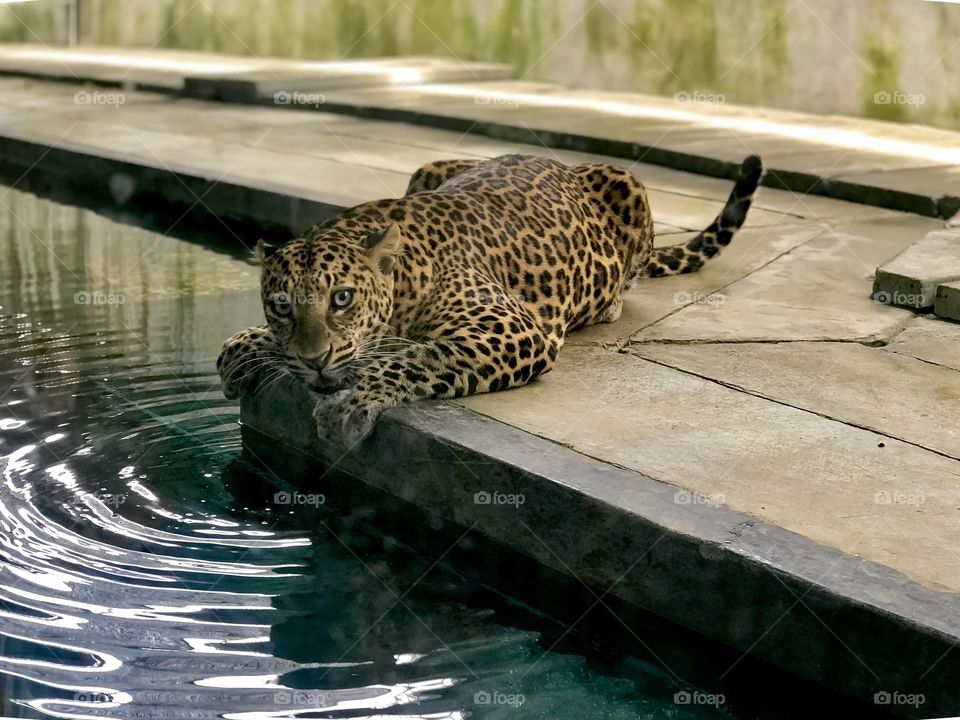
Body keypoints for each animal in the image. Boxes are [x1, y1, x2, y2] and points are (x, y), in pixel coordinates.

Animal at [218, 153, 763, 446]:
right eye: (282, 305)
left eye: (342, 298)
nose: (314, 359)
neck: (404, 277)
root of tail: (564, 162)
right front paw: (246, 348)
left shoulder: (511, 329)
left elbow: (418, 357)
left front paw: (349, 403)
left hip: (627, 184)